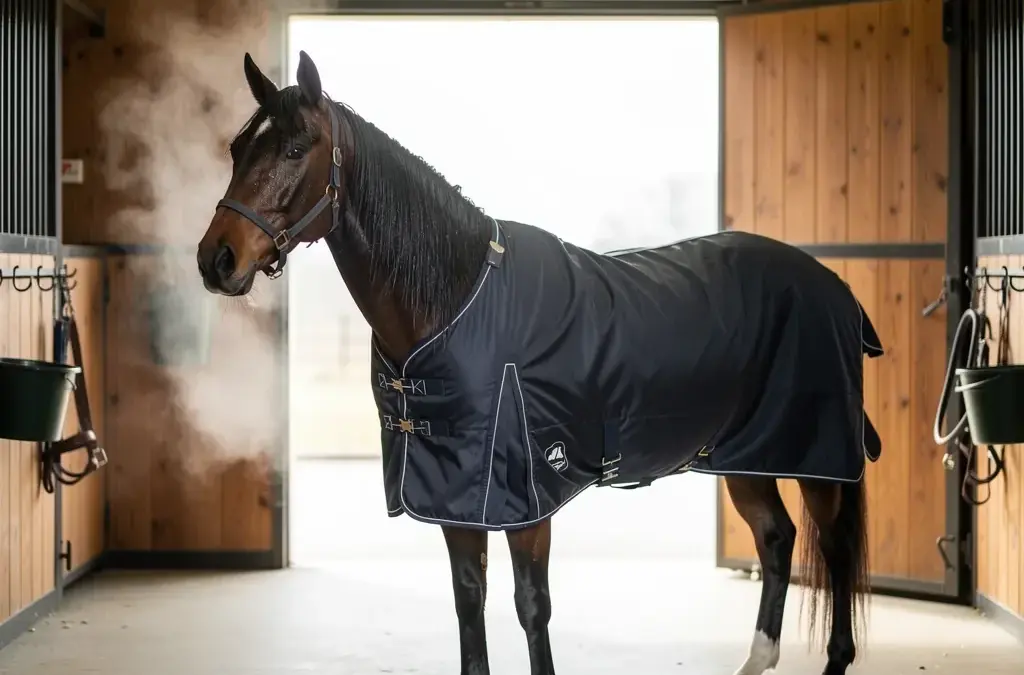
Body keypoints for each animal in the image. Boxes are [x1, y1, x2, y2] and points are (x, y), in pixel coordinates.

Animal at [197, 50, 885, 675]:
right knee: (775, 538)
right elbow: (468, 605)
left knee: (833, 548)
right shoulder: (457, 497)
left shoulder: (526, 499)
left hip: (817, 458)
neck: (456, 301)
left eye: (295, 149)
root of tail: (833, 286)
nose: (216, 260)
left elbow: (532, 607)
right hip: (744, 455)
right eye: (237, 148)